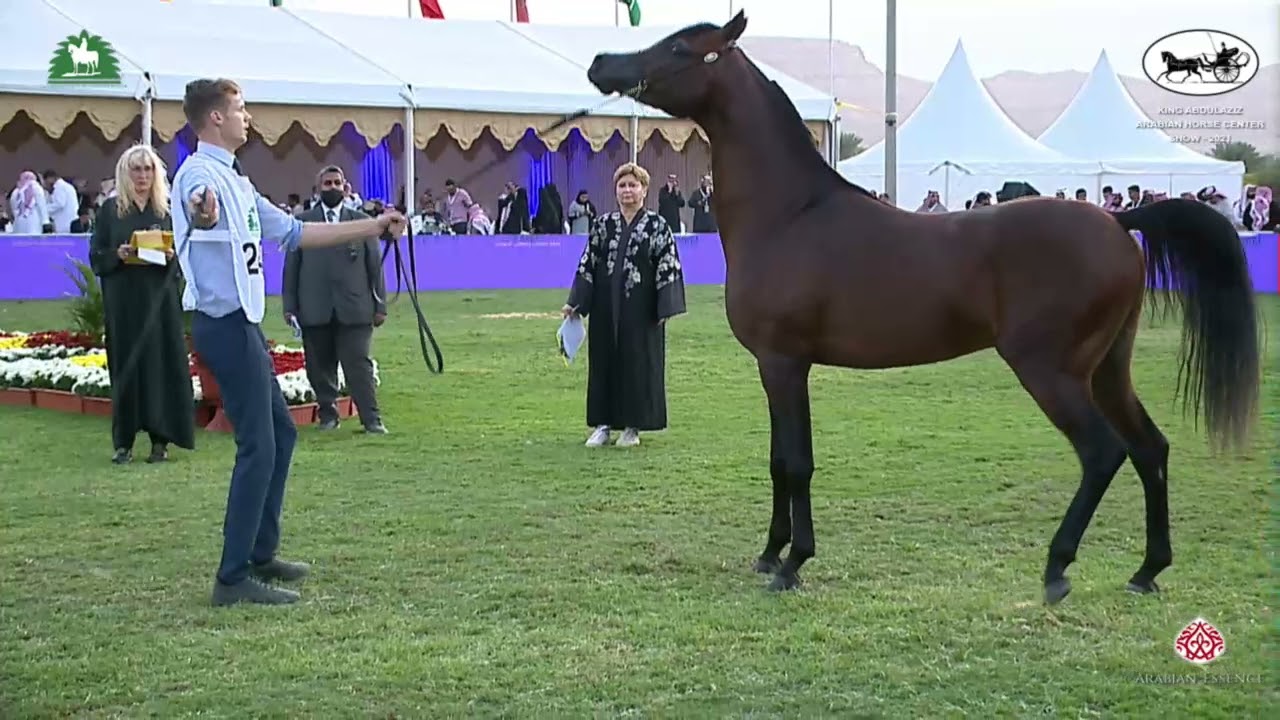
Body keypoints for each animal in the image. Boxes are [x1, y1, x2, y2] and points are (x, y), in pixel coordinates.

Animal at [585, 11, 1261, 605]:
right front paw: (771, 553)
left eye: (680, 47)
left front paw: (794, 563)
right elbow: (779, 461)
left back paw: (1057, 569)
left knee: (1102, 453)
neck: (791, 215)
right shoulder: (776, 368)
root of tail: (1117, 221)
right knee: (1151, 449)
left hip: (1052, 371)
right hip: (1108, 369)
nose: (600, 63)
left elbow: (797, 462)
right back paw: (1147, 571)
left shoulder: (784, 363)